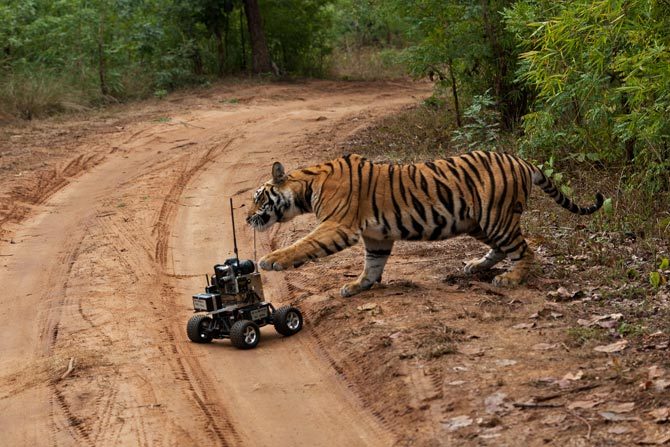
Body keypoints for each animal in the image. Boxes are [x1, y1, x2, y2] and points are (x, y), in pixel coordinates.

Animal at [248, 151, 608, 298]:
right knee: (502, 248)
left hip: (496, 217)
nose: (247, 218)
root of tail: (521, 160)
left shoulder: (337, 225)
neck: (306, 188)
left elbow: (303, 244)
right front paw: (358, 286)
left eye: (258, 197)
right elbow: (372, 265)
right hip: (478, 222)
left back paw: (512, 279)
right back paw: (475, 266)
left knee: (524, 249)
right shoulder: (376, 236)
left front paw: (271, 260)